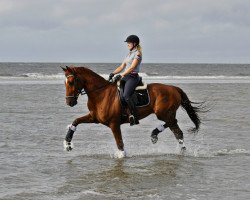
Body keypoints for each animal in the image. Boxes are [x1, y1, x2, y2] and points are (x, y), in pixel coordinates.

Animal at [61, 66, 204, 157]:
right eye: (65, 82)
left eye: (72, 82)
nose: (69, 102)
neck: (101, 93)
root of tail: (174, 88)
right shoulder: (94, 118)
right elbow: (76, 121)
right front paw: (67, 143)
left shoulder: (114, 124)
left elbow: (119, 143)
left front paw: (122, 156)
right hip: (166, 114)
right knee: (176, 129)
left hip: (163, 113)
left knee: (175, 126)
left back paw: (160, 137)